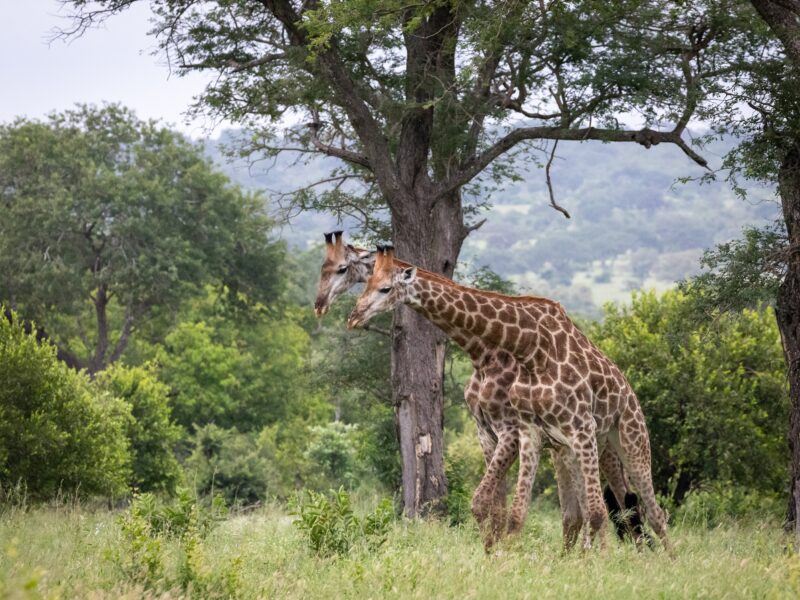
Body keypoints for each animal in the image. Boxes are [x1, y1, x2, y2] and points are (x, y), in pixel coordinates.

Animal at [316, 232, 642, 549]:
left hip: (602, 442)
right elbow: (493, 506)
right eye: (323, 267)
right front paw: (492, 551)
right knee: (591, 508)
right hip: (564, 447)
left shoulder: (509, 431)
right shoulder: (488, 432)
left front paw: (497, 552)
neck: (484, 355)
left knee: (623, 499)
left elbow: (485, 502)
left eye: (342, 268)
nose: (323, 306)